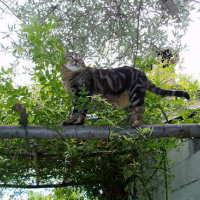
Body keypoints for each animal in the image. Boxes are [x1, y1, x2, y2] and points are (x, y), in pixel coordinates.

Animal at [61, 49, 191, 126]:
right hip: (128, 101)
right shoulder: (79, 97)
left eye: (80, 59)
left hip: (136, 94)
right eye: (71, 56)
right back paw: (129, 121)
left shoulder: (84, 94)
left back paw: (137, 122)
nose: (76, 60)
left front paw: (73, 121)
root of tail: (143, 74)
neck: (70, 77)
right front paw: (78, 122)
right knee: (135, 110)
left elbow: (77, 111)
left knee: (141, 108)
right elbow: (81, 112)